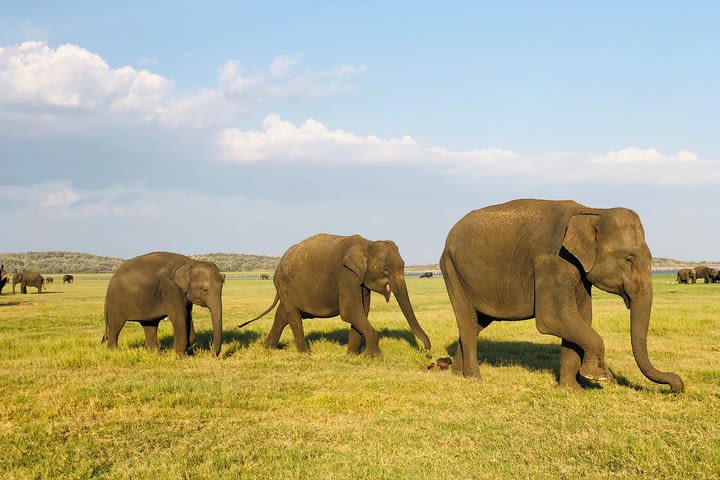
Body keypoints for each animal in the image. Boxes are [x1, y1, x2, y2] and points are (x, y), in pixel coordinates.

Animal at [239, 232, 430, 356]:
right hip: (285, 285)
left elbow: (362, 311)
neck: (367, 243)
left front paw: (352, 355)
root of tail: (278, 264)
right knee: (293, 316)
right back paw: (305, 353)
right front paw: (372, 356)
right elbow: (350, 311)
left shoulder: (359, 280)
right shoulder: (346, 274)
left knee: (282, 315)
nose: (426, 350)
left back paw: (267, 348)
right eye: (385, 269)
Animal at [442, 200, 684, 394]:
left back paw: (456, 373)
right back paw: (475, 378)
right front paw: (598, 376)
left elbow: (579, 319)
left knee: (477, 323)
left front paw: (572, 389)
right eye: (628, 259)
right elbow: (556, 319)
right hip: (452, 271)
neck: (592, 211)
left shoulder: (579, 272)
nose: (676, 386)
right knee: (467, 321)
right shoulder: (552, 261)